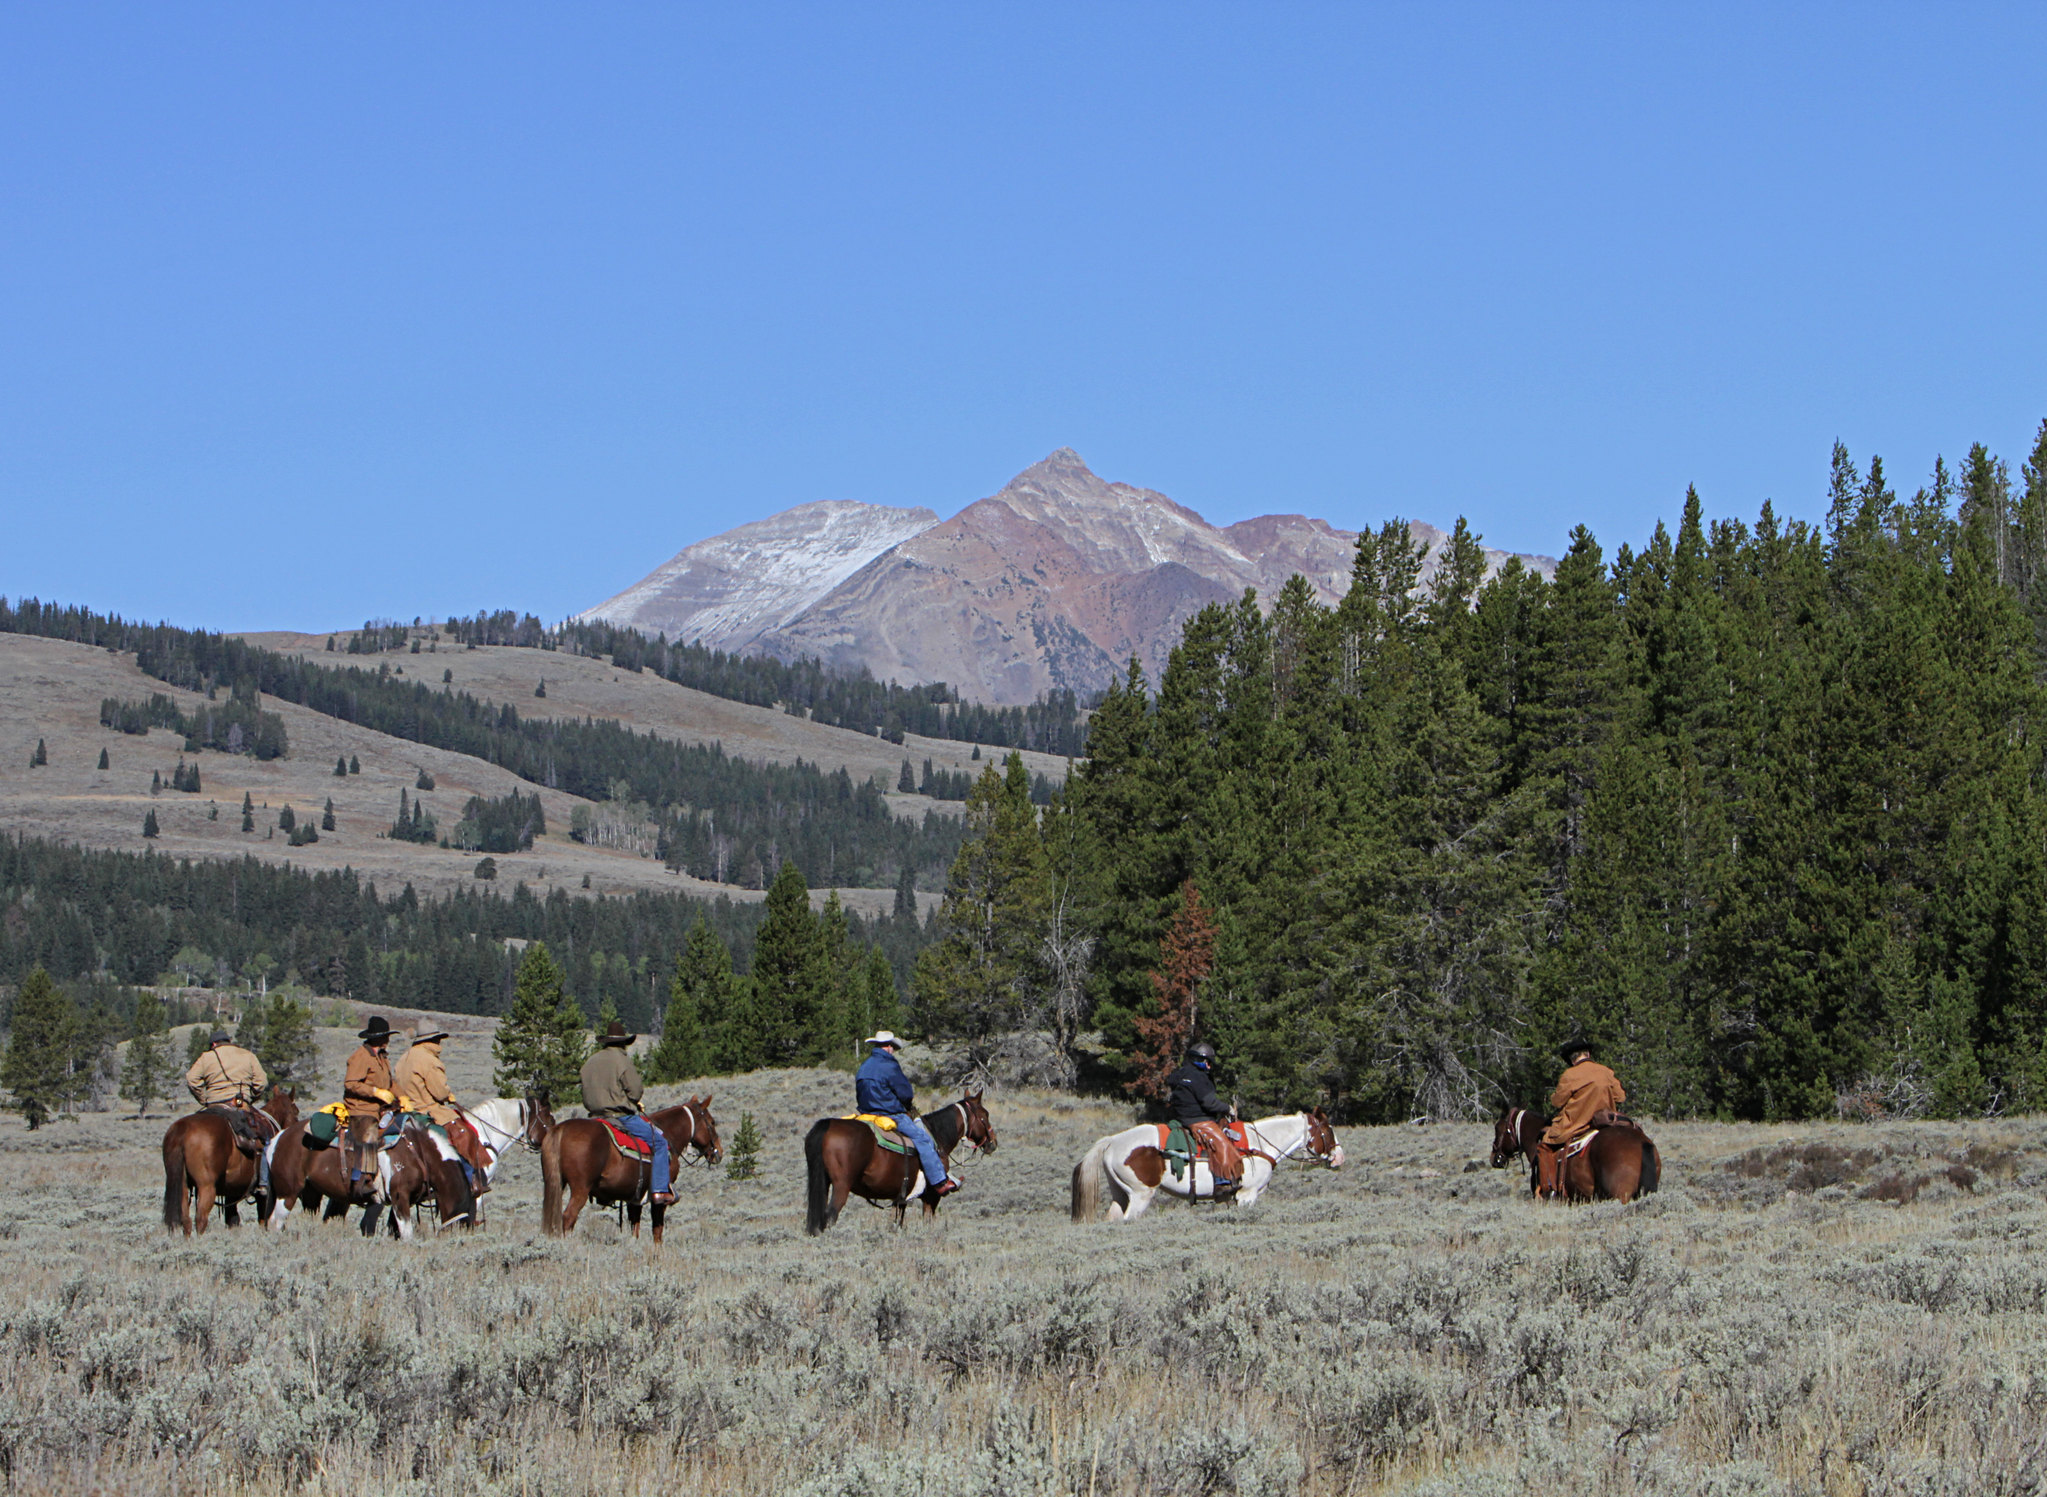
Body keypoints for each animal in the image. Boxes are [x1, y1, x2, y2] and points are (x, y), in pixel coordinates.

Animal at [161, 1089, 298, 1245]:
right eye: (296, 1111)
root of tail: (182, 1129)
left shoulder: (232, 1192)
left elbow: (233, 1219)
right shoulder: (265, 1194)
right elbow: (264, 1219)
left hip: (183, 1186)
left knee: (186, 1219)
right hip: (206, 1187)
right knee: (201, 1218)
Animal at [540, 1097, 724, 1245]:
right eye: (712, 1122)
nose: (719, 1152)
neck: (667, 1134)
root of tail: (561, 1129)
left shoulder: (634, 1198)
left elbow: (635, 1229)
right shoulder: (659, 1198)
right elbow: (657, 1232)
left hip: (557, 1184)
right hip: (580, 1189)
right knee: (568, 1218)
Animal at [814, 1097, 1007, 1236]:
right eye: (984, 1115)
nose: (993, 1143)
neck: (937, 1135)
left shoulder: (901, 1199)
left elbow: (898, 1222)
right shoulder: (931, 1196)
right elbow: (928, 1221)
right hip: (841, 1187)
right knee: (830, 1216)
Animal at [1064, 1105, 1351, 1220]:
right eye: (1328, 1129)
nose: (1339, 1157)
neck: (1259, 1145)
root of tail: (1113, 1140)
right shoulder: (1247, 1195)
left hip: (1119, 1193)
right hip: (1139, 1195)